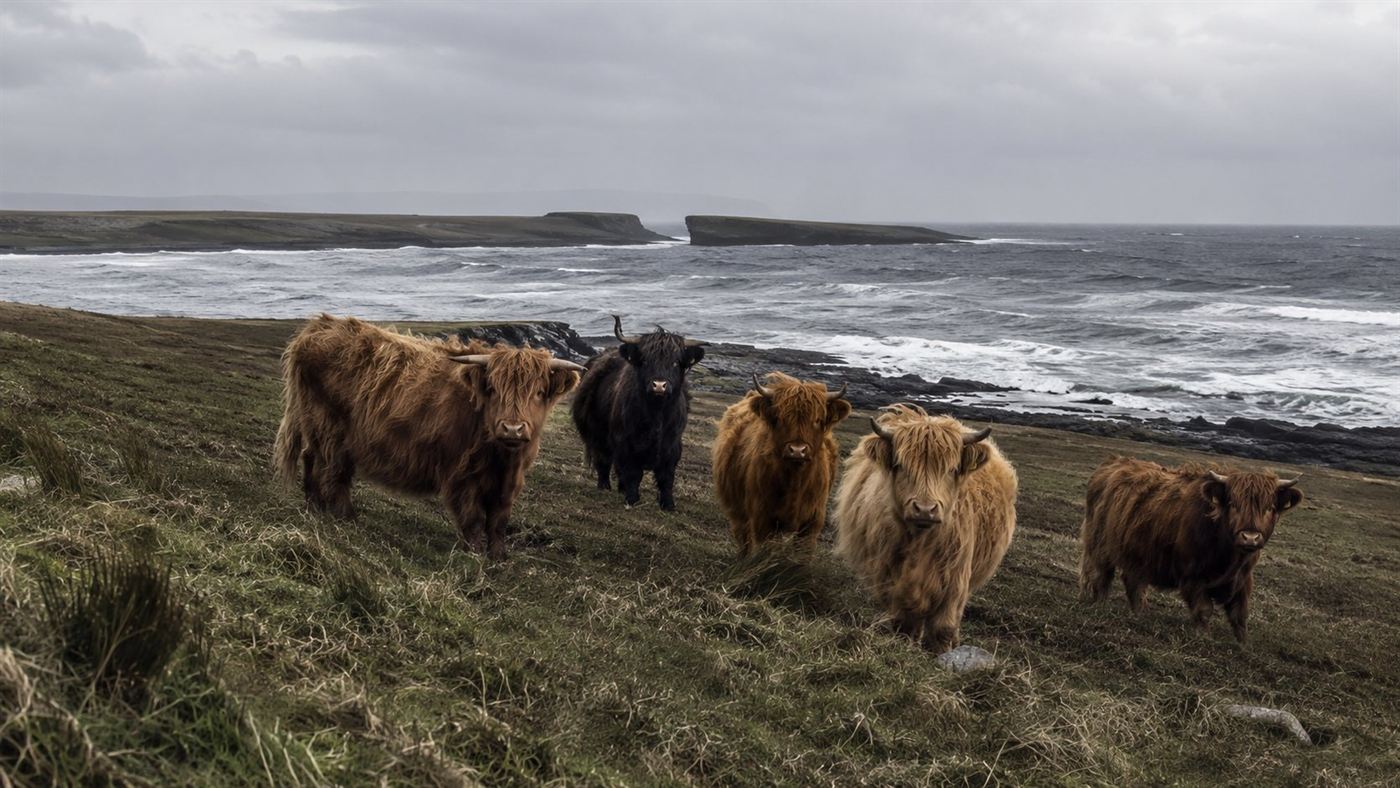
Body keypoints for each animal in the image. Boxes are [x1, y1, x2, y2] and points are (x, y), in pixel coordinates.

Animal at [273, 314, 584, 559]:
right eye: (493, 389)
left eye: (539, 392)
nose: (512, 428)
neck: (502, 457)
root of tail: (319, 325)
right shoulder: (462, 474)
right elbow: (473, 518)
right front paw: (475, 555)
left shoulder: (510, 480)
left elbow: (498, 520)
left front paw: (498, 556)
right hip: (329, 425)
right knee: (334, 469)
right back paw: (344, 514)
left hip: (314, 423)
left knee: (312, 457)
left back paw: (314, 504)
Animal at [570, 315, 705, 510]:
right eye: (646, 361)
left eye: (675, 362)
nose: (659, 385)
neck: (656, 414)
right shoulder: (625, 441)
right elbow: (633, 471)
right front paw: (632, 499)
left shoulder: (672, 445)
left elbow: (666, 477)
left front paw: (668, 505)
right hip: (597, 433)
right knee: (604, 459)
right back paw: (605, 486)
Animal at [712, 372, 852, 557]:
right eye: (779, 419)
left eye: (817, 420)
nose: (797, 450)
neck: (795, 482)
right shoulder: (762, 518)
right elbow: (765, 550)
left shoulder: (813, 521)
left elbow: (803, 553)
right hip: (737, 508)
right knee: (743, 535)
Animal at [834, 404, 1017, 653]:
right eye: (901, 466)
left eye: (951, 469)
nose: (924, 509)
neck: (920, 544)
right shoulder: (893, 578)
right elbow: (905, 624)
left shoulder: (955, 578)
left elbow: (943, 629)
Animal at [1078, 457, 1302, 643]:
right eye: (1232, 504)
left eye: (1270, 508)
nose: (1250, 537)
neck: (1229, 556)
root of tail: (1113, 462)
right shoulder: (1192, 575)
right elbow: (1204, 609)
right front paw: (1205, 638)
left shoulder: (1242, 579)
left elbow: (1239, 615)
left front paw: (1243, 645)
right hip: (1099, 544)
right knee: (1101, 575)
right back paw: (1099, 604)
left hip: (1137, 554)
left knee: (1133, 582)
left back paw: (1139, 614)